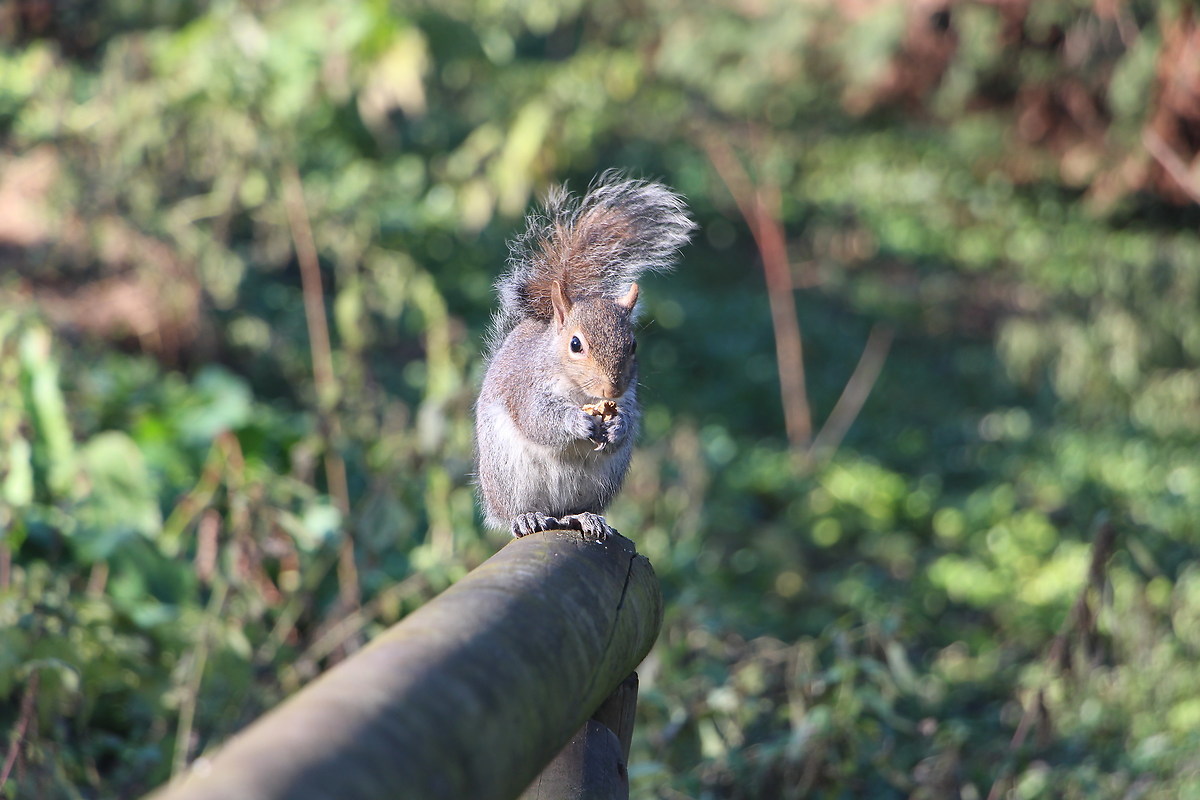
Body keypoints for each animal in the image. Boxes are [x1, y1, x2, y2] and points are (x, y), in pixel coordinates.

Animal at [474, 172, 695, 540]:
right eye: (575, 345)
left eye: (633, 345)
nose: (612, 389)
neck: (580, 392)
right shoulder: (527, 388)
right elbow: (538, 419)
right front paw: (576, 422)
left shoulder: (628, 396)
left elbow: (627, 418)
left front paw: (619, 425)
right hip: (509, 477)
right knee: (516, 512)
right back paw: (527, 518)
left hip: (597, 483)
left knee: (571, 512)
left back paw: (585, 517)